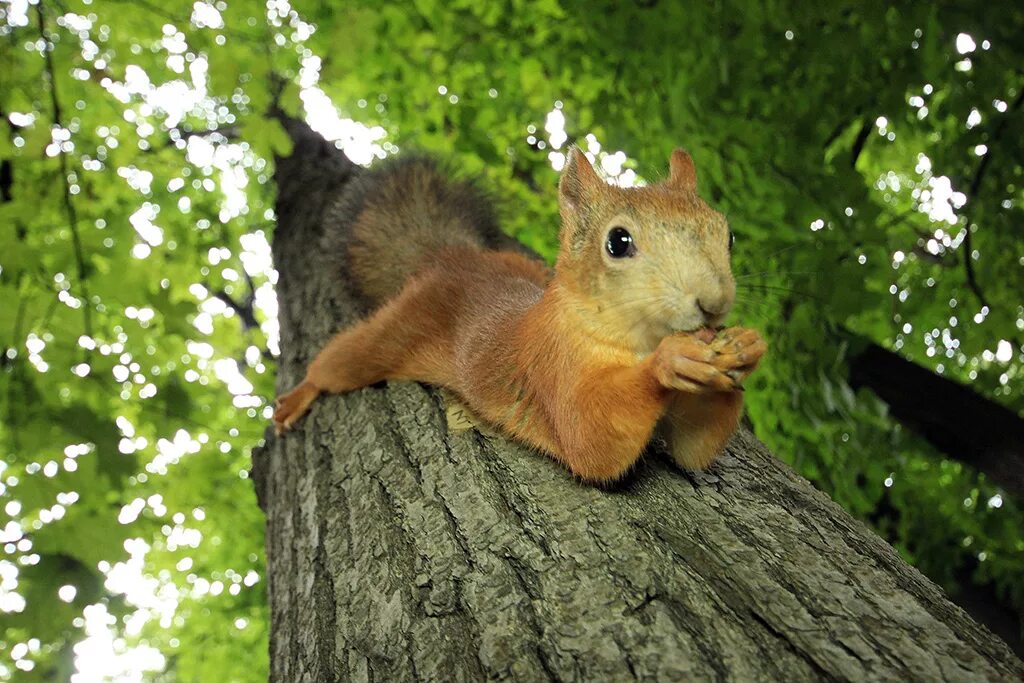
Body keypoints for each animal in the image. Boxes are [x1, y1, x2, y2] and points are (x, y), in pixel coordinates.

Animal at [274, 147, 770, 483]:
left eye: (727, 235)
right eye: (617, 242)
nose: (713, 302)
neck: (635, 339)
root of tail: (454, 257)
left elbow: (692, 449)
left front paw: (746, 348)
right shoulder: (553, 367)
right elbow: (592, 439)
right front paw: (671, 361)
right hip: (387, 333)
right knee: (337, 363)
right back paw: (299, 396)